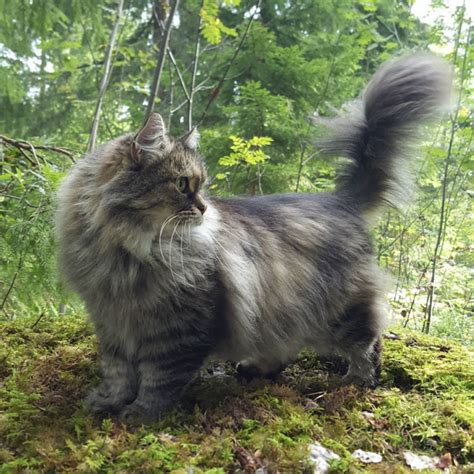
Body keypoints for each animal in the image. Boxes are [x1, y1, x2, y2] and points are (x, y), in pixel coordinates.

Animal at [56, 54, 452, 422]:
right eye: (183, 185)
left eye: (200, 186)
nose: (203, 208)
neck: (127, 249)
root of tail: (340, 199)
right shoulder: (110, 319)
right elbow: (117, 371)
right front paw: (108, 402)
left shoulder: (181, 329)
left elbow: (159, 377)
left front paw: (140, 414)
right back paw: (256, 368)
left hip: (340, 310)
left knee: (368, 343)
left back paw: (357, 381)